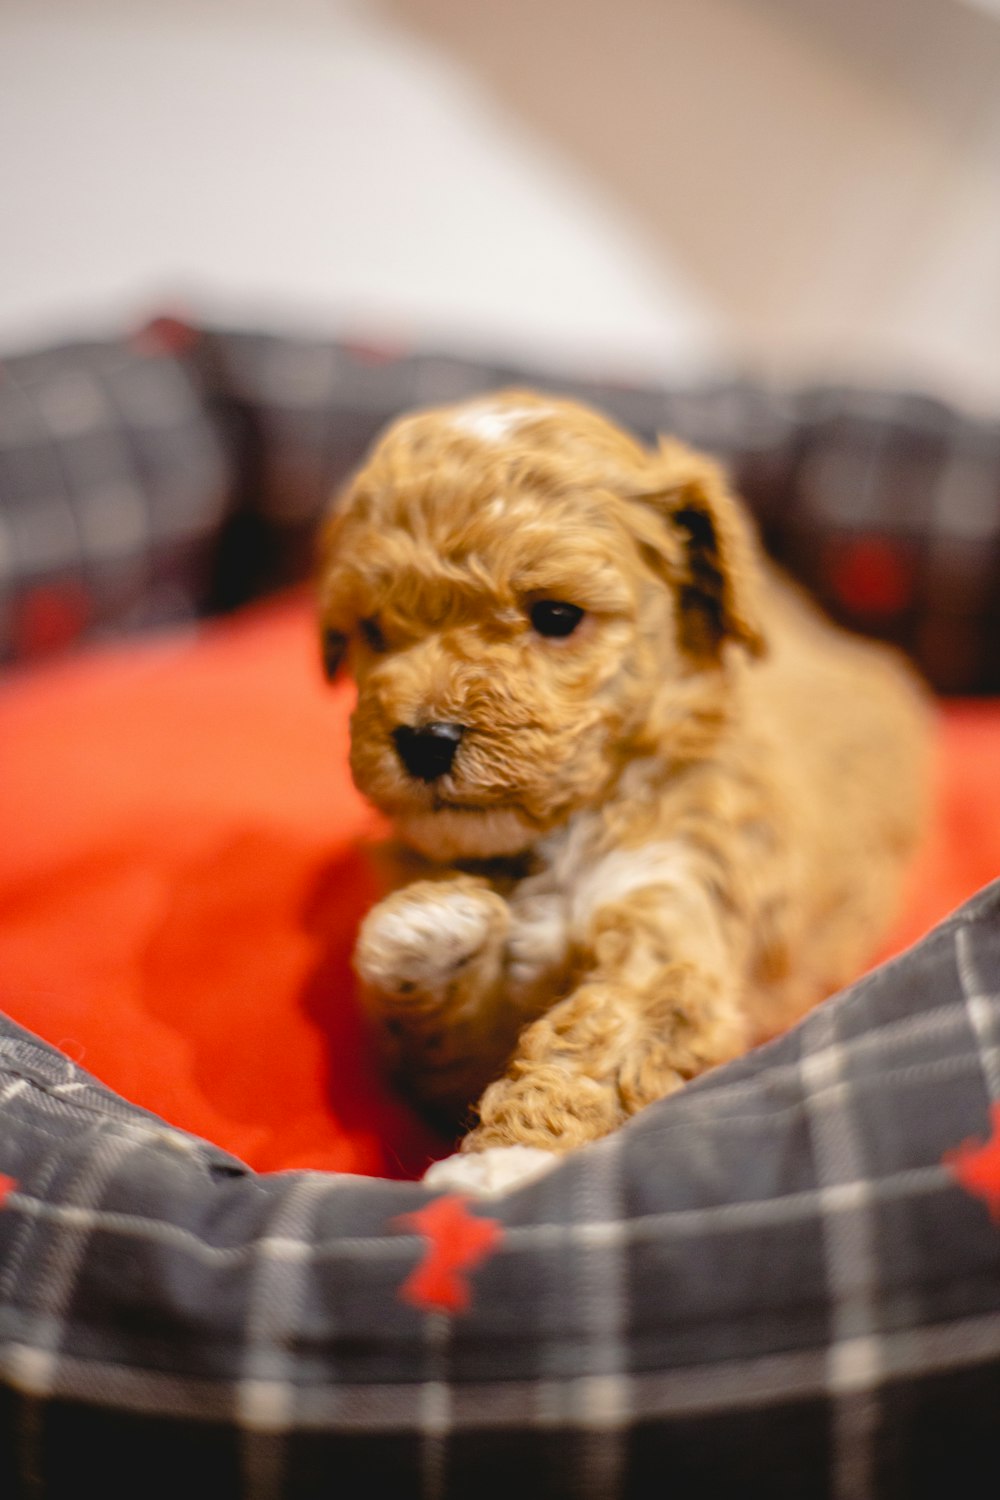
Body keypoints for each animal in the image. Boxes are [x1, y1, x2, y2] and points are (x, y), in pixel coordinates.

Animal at [319, 390, 929, 1182]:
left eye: (556, 616)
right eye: (371, 631)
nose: (425, 739)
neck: (560, 836)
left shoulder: (673, 906)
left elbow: (597, 1038)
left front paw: (508, 1160)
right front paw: (428, 927)